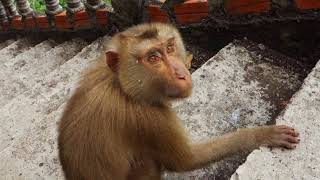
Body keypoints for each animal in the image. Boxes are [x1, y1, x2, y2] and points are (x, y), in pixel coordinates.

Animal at [58, 22, 300, 180]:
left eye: (169, 47)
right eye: (153, 58)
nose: (182, 73)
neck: (122, 86)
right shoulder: (149, 118)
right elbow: (187, 160)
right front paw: (262, 134)